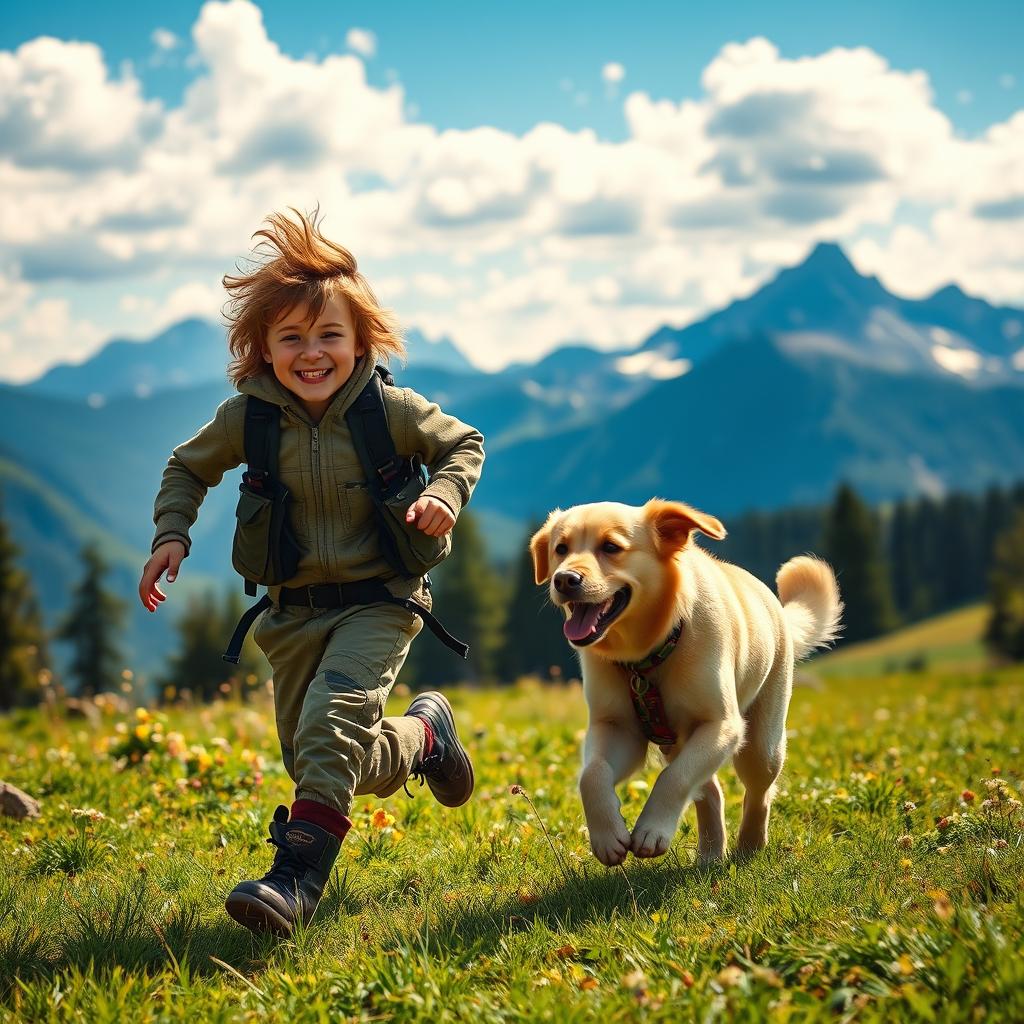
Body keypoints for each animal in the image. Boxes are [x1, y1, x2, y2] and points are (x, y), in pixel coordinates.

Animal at [528, 499, 839, 868]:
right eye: (561, 549)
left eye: (611, 547)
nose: (564, 579)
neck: (648, 653)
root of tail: (775, 604)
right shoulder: (617, 728)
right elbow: (592, 774)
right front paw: (607, 835)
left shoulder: (721, 726)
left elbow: (674, 778)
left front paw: (651, 829)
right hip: (677, 743)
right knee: (711, 790)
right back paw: (710, 853)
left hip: (761, 744)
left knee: (758, 791)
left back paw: (749, 844)